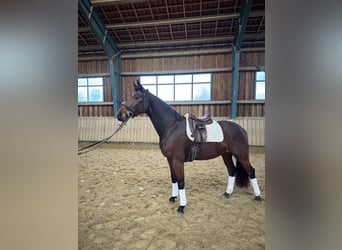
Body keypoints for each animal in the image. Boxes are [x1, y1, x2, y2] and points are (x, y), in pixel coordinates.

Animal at [116, 81, 260, 214]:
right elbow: (174, 179)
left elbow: (181, 182)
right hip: (226, 154)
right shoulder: (170, 160)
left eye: (137, 97)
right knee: (232, 170)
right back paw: (227, 193)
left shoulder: (178, 161)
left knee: (251, 171)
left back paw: (258, 197)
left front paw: (181, 206)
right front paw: (173, 198)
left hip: (241, 155)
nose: (120, 115)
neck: (171, 127)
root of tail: (241, 128)